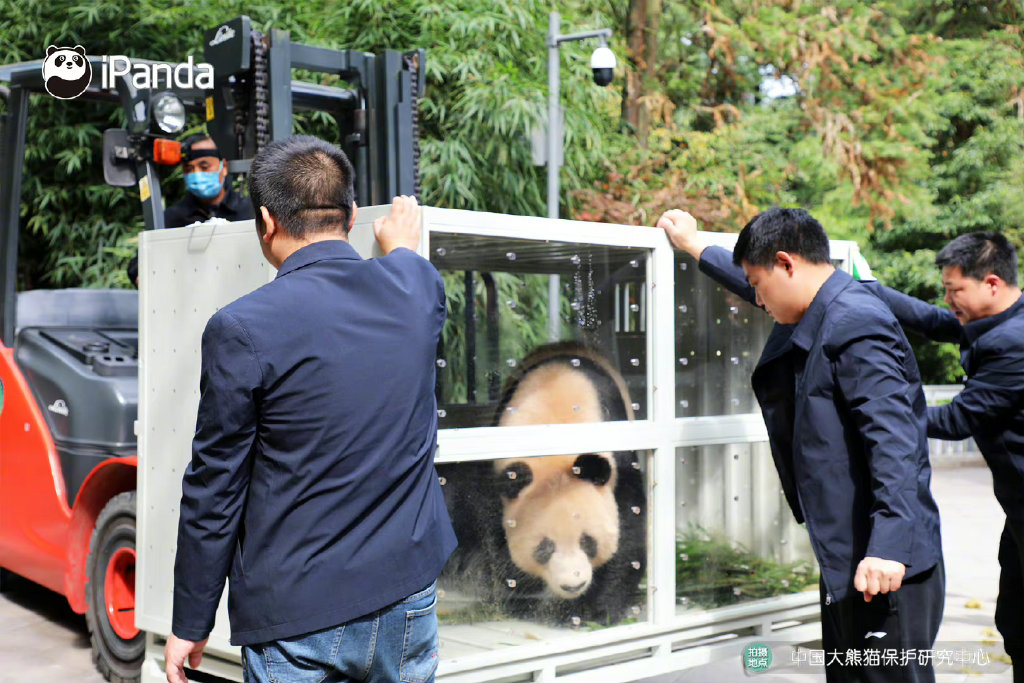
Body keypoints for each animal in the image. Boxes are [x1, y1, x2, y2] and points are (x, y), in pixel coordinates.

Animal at [436, 344, 643, 626]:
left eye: (588, 542)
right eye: (544, 548)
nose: (573, 585)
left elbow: (628, 528)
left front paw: (594, 609)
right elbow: (494, 533)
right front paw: (525, 598)